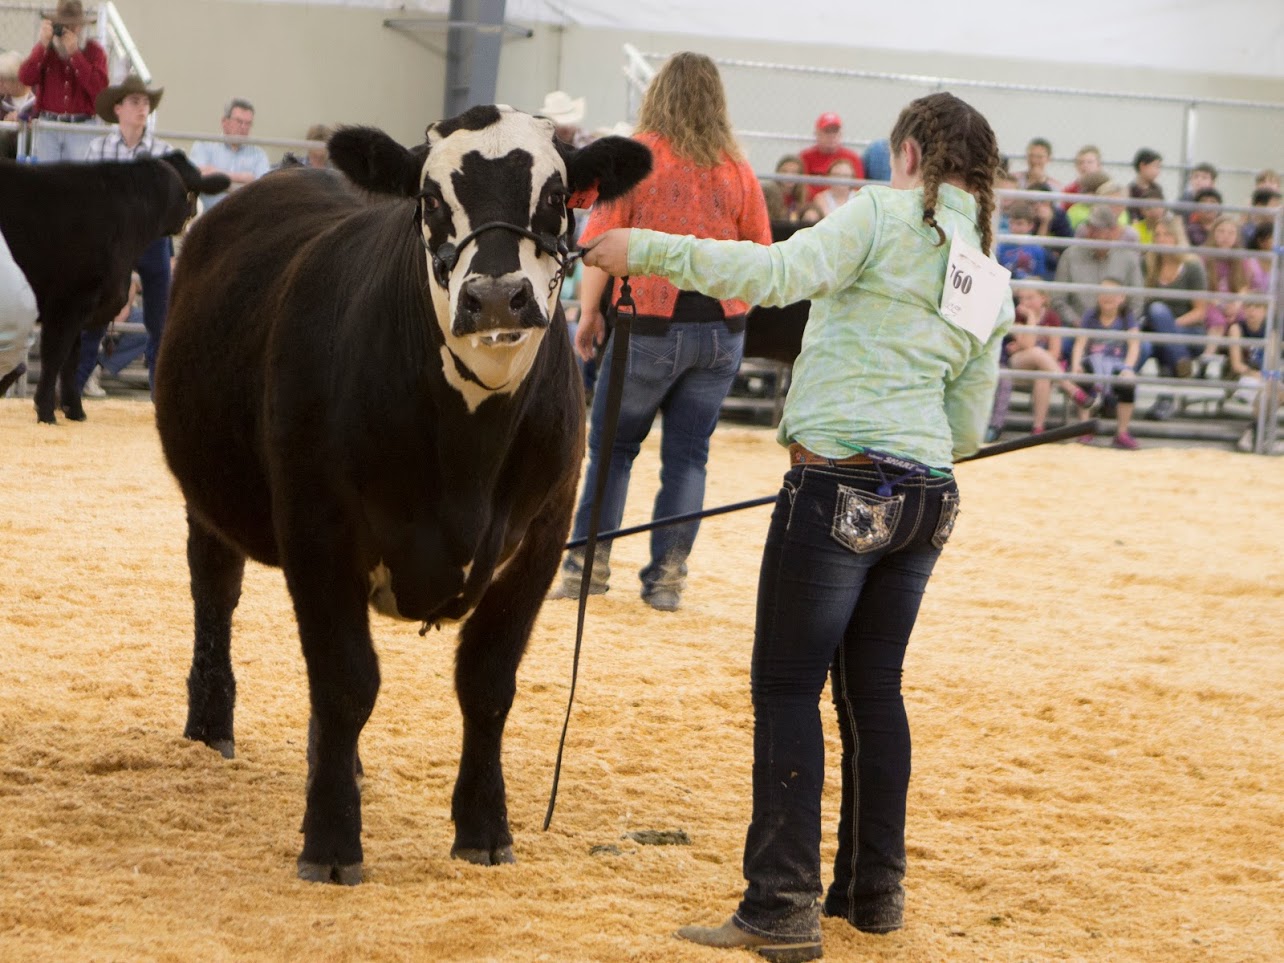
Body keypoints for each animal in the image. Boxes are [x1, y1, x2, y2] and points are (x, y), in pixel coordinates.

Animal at [0, 153, 228, 423]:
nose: (195, 215)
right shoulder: (69, 302)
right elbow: (55, 357)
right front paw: (46, 412)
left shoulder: (80, 310)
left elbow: (72, 360)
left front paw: (74, 410)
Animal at [153, 105, 651, 884]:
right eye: (429, 199)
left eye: (556, 196)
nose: (496, 297)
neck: (465, 460)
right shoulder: (317, 526)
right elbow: (345, 680)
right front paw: (331, 844)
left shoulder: (544, 533)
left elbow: (487, 683)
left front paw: (485, 828)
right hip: (209, 493)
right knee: (215, 589)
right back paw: (211, 727)